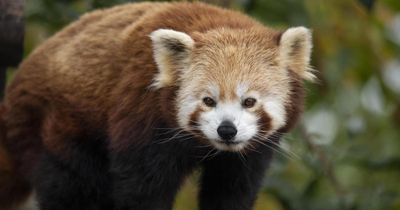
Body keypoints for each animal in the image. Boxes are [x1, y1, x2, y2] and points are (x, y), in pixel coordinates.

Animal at [0, 2, 312, 210]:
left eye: (249, 101)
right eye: (208, 101)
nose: (226, 130)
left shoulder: (248, 155)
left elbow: (232, 189)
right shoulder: (141, 118)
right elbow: (142, 189)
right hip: (55, 127)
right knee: (71, 185)